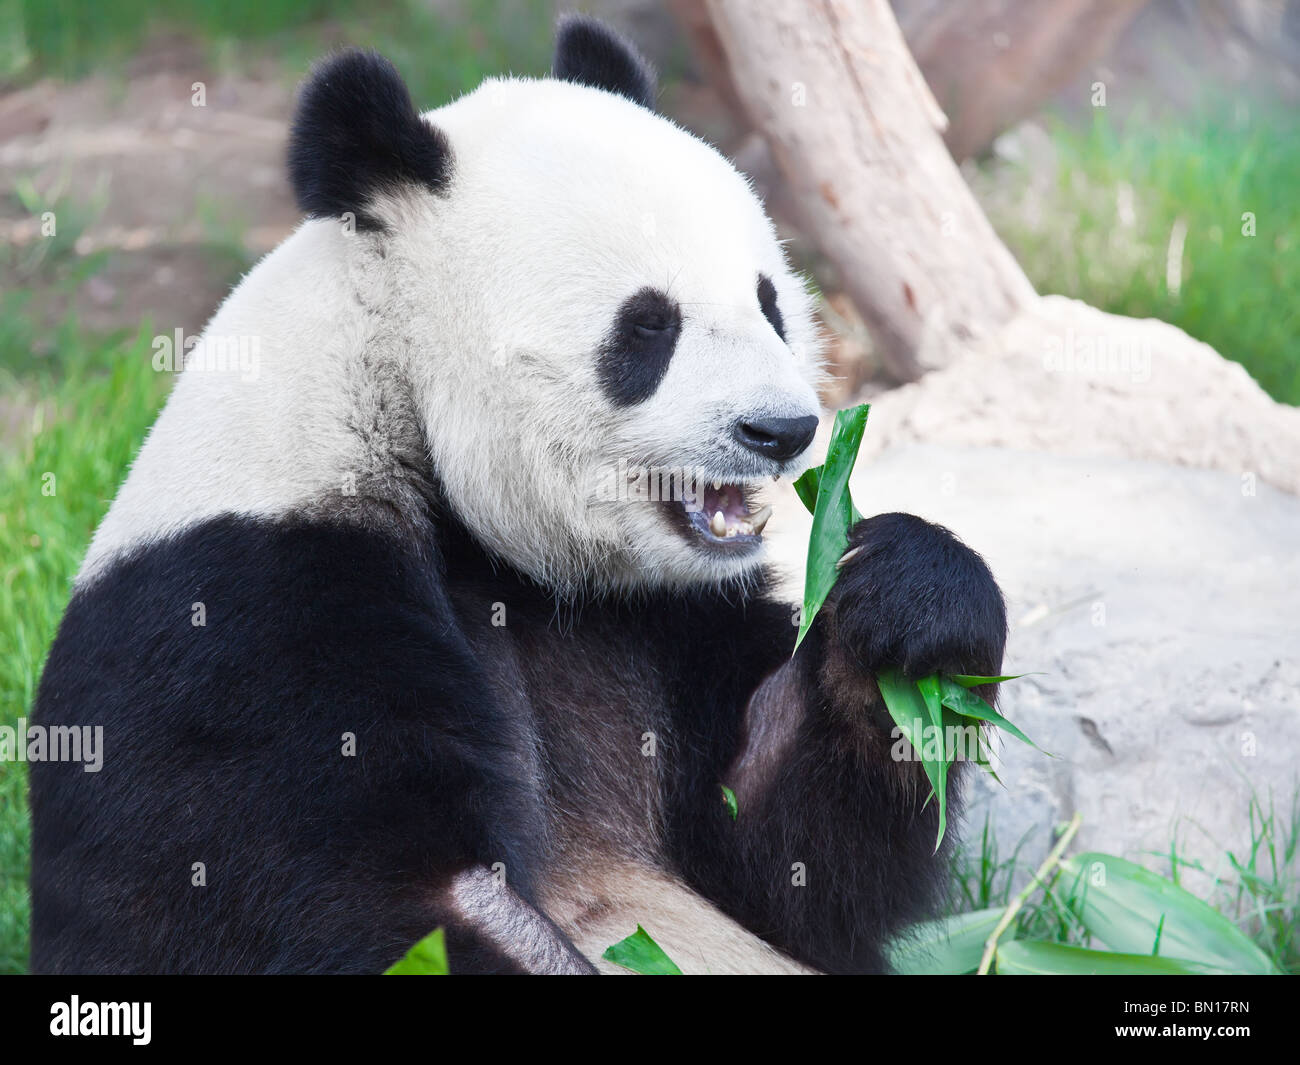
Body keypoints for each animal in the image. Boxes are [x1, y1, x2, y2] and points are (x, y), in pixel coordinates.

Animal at [27, 14, 1003, 972]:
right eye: (648, 327)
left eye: (770, 303)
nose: (784, 429)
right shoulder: (250, 607)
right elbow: (347, 901)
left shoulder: (659, 618)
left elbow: (787, 867)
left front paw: (904, 598)